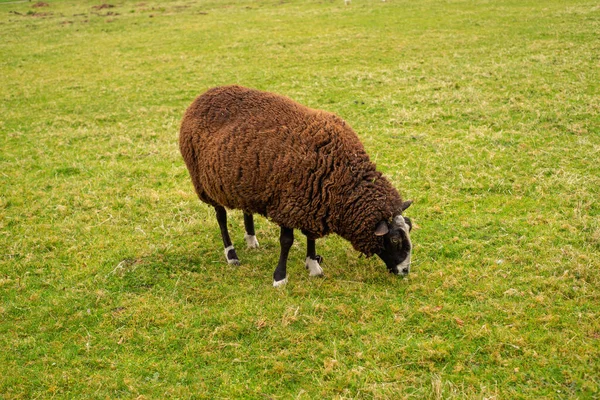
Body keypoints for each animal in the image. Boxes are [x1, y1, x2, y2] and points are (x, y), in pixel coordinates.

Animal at [178, 86, 412, 286]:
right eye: (394, 240)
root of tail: (202, 96)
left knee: (246, 210)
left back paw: (251, 240)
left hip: (246, 180)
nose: (405, 271)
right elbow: (286, 241)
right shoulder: (289, 203)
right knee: (221, 218)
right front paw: (280, 277)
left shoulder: (314, 201)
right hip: (206, 184)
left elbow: (310, 236)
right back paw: (231, 254)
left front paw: (313, 265)